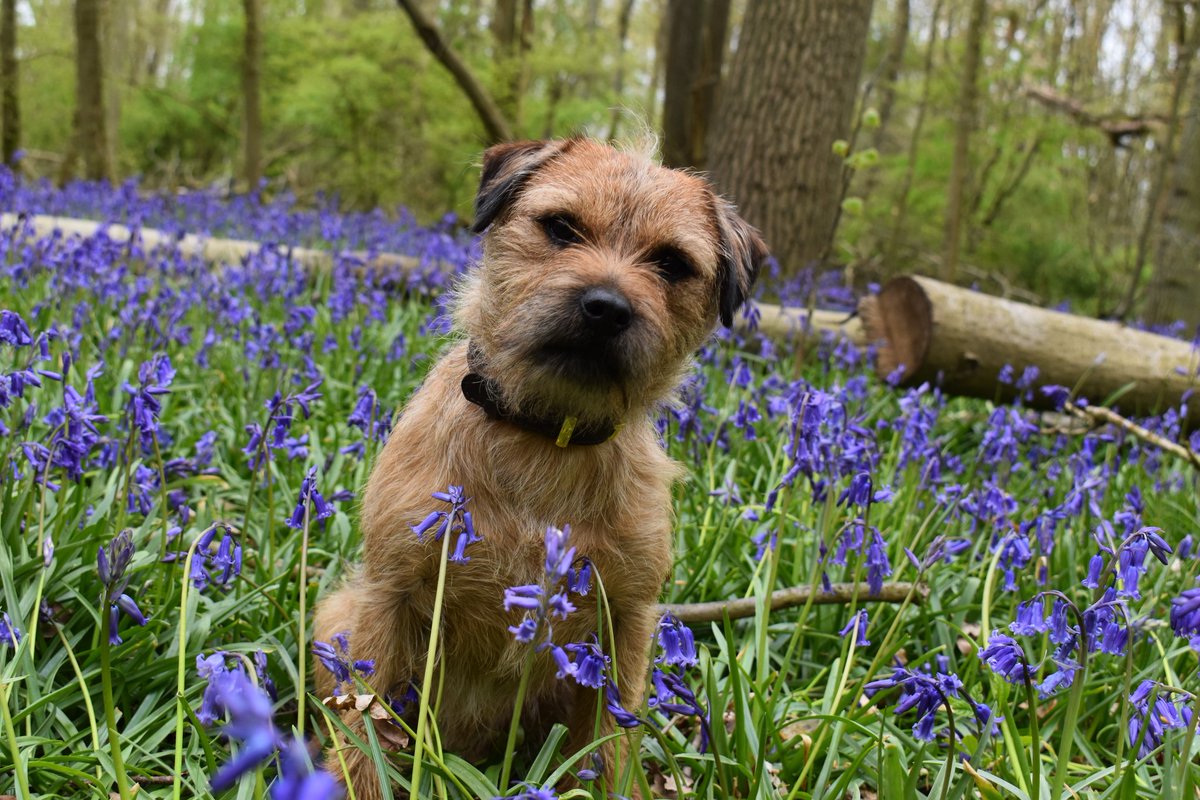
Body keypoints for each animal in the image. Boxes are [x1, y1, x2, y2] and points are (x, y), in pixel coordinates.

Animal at [314, 137, 763, 796]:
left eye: (672, 263)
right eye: (560, 227)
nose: (606, 308)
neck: (546, 434)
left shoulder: (624, 622)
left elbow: (610, 742)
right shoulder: (390, 597)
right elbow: (362, 731)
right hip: (335, 615)